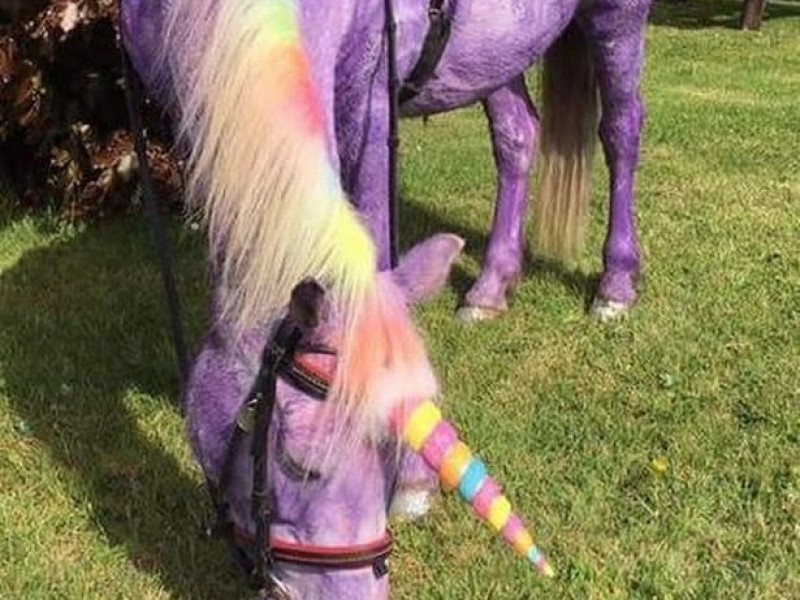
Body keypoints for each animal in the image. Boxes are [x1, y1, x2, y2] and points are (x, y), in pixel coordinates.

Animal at [123, 0, 648, 596]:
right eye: (299, 463)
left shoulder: (370, 100)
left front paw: (415, 483)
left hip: (617, 20)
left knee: (622, 129)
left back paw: (615, 286)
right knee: (517, 135)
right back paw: (490, 287)